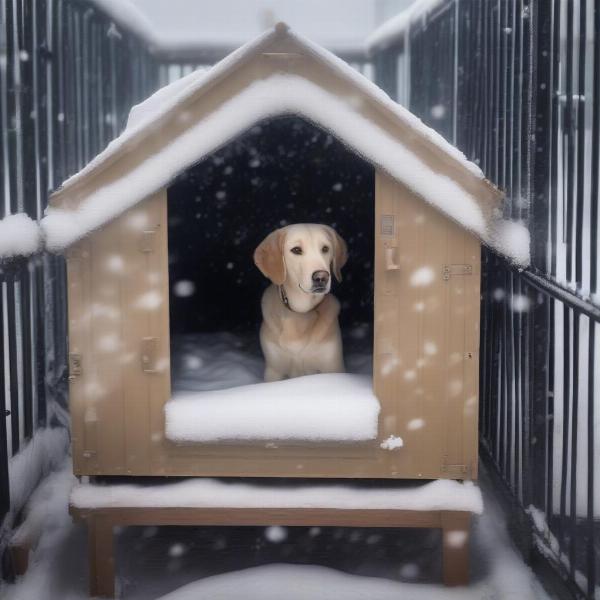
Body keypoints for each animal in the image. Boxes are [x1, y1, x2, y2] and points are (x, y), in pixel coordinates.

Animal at [253, 223, 346, 382]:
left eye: (325, 249)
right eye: (296, 250)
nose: (321, 277)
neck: (300, 314)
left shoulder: (333, 366)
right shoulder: (274, 370)